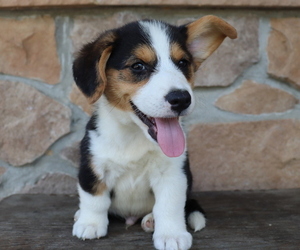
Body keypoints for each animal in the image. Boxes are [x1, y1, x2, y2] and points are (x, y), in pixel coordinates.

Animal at [72, 16, 237, 250]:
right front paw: (90, 224)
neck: (134, 135)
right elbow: (94, 198)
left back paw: (150, 220)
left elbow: (169, 206)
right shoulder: (92, 166)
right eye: (138, 66)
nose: (181, 99)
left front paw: (171, 235)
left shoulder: (173, 174)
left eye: (183, 63)